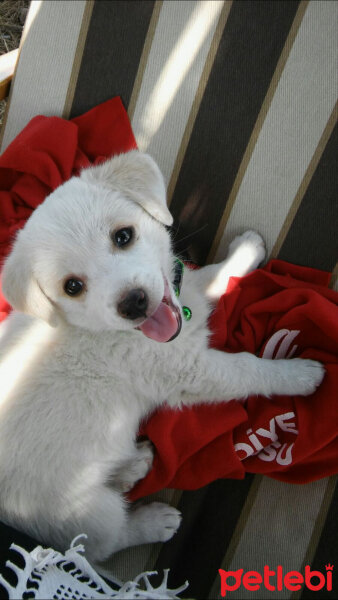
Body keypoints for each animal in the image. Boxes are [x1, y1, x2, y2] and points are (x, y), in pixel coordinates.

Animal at [0, 150, 324, 564]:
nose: (134, 303)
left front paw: (246, 252)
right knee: (104, 544)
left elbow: (209, 277)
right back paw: (152, 521)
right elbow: (248, 368)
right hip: (82, 513)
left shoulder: (181, 294)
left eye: (123, 236)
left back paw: (133, 463)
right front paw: (299, 375)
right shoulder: (189, 372)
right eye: (72, 287)